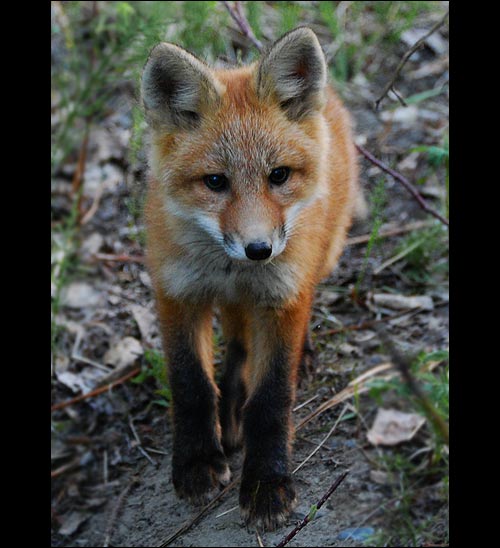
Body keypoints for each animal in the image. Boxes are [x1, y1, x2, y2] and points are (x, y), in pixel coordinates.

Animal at [141, 26, 364, 532]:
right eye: (215, 182)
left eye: (278, 175)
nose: (259, 250)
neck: (231, 272)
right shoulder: (177, 292)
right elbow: (191, 384)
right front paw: (197, 461)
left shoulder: (280, 298)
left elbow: (271, 398)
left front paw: (266, 484)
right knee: (238, 347)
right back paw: (228, 416)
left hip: (322, 257)